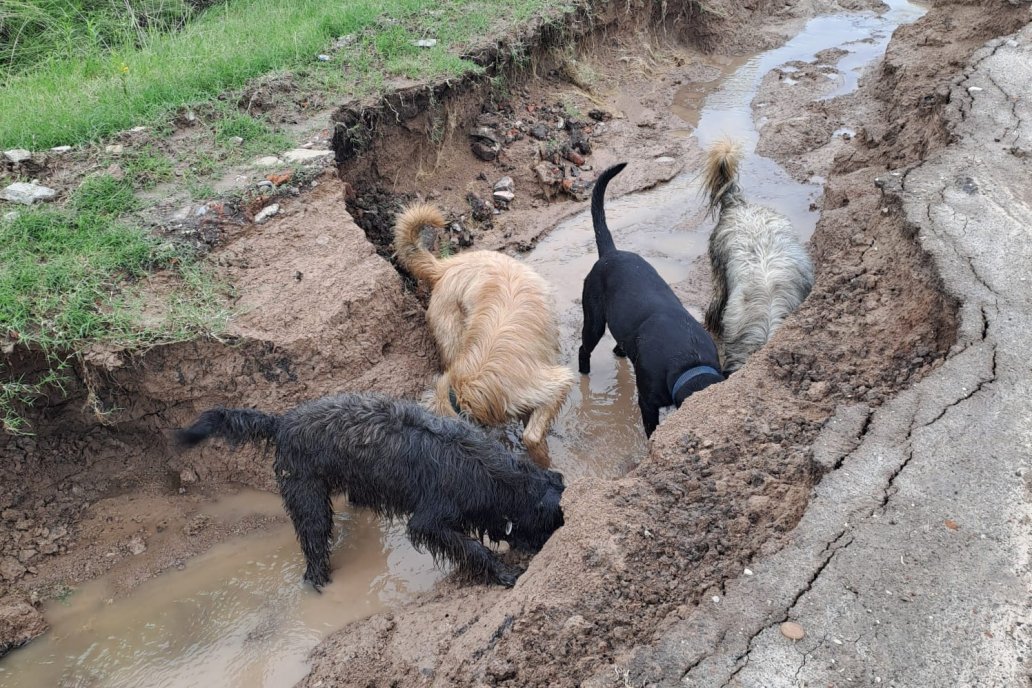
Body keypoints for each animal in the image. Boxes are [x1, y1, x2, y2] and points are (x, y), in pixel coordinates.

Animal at [177, 391, 565, 594]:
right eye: (552, 523)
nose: (549, 548)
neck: (491, 474)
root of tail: (283, 422)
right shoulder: (429, 519)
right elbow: (471, 548)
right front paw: (503, 573)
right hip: (306, 497)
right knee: (314, 541)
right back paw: (317, 581)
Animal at [577, 161, 722, 435]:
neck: (690, 361)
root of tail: (610, 253)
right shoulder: (647, 401)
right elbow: (651, 429)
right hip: (593, 321)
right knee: (583, 349)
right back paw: (584, 373)